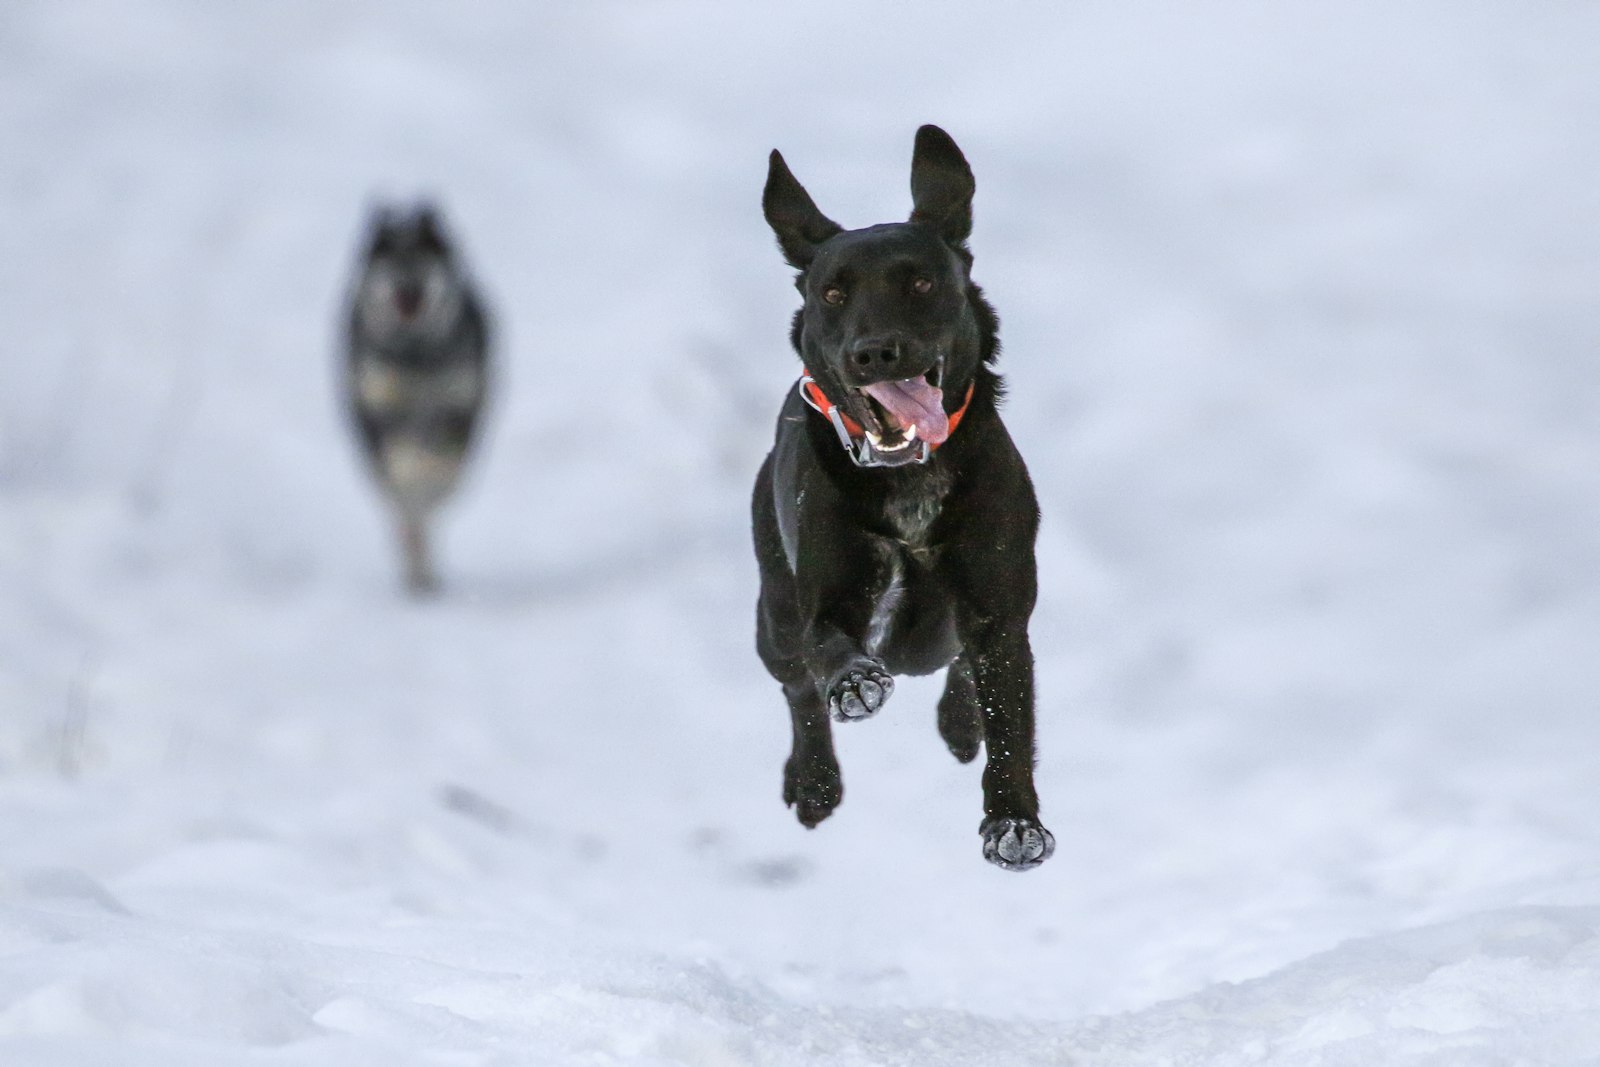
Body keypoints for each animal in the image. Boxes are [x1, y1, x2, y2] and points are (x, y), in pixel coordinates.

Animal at [339, 204, 483, 598]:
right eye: (388, 261)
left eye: (423, 259)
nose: (408, 285)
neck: (414, 354)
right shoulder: (380, 405)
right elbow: (404, 468)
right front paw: (412, 474)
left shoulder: (458, 403)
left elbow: (440, 464)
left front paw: (429, 475)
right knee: (403, 516)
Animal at [755, 129, 1056, 870]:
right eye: (833, 293)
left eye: (921, 281)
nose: (875, 351)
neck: (907, 482)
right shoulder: (823, 595)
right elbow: (829, 647)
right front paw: (855, 684)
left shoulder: (998, 604)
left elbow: (1009, 714)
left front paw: (1014, 822)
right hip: (772, 614)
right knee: (796, 684)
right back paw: (814, 781)